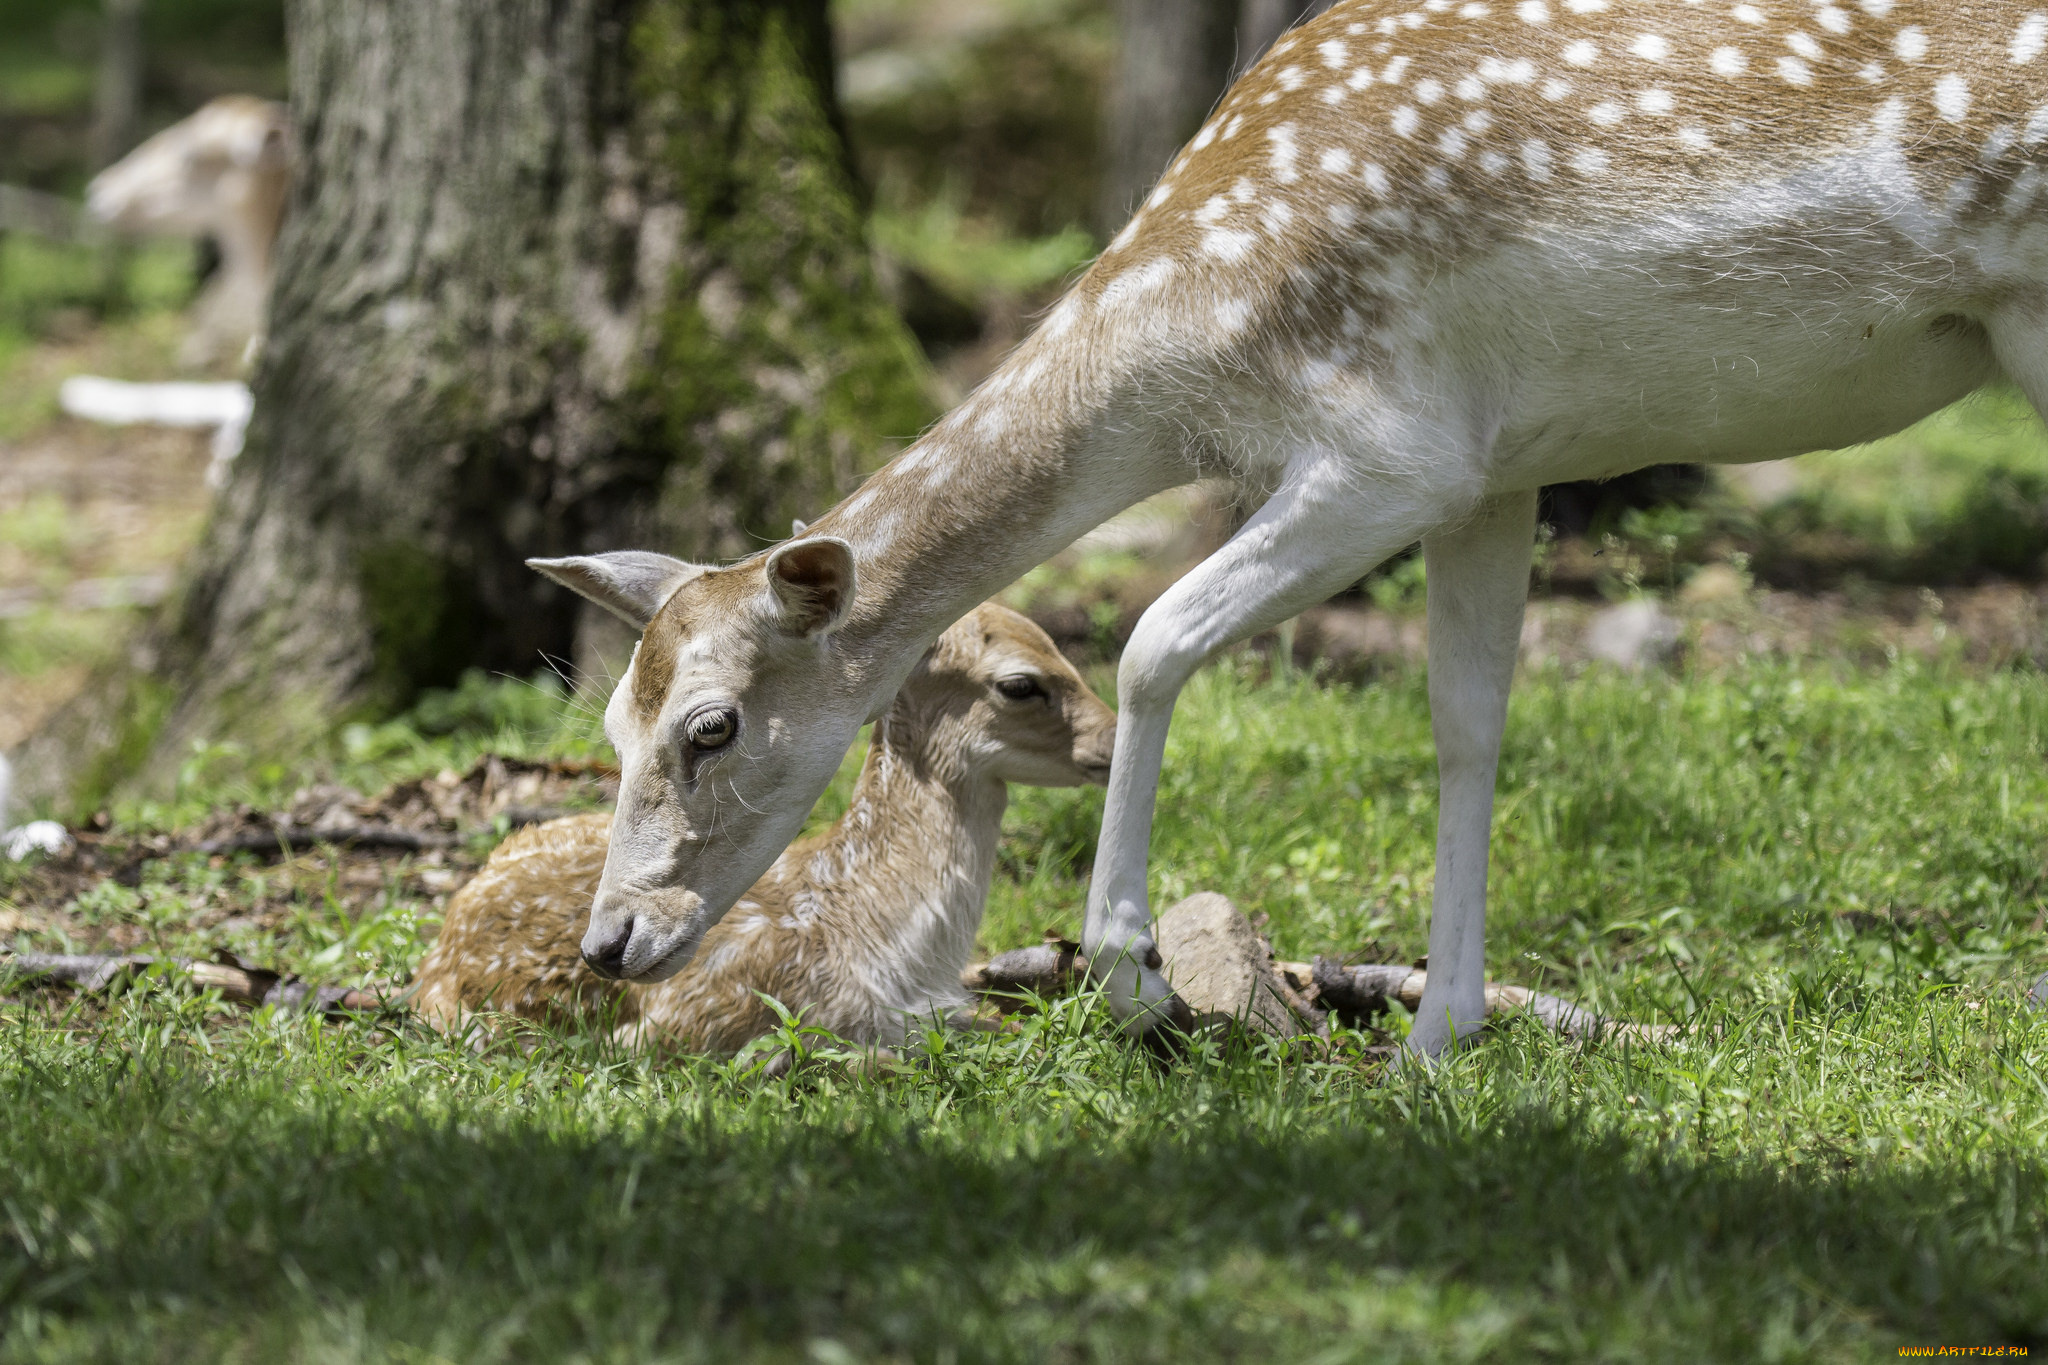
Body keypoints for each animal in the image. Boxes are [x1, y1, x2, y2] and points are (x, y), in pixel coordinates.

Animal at [532, 0, 2048, 1064]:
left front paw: (1136, 980)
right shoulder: (1493, 470)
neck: (1194, 334)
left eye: (713, 726)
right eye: (608, 717)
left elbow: (1150, 638)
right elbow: (1467, 722)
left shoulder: (1390, 448)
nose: (612, 940)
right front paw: (1437, 1038)